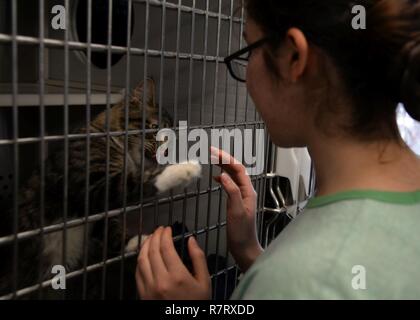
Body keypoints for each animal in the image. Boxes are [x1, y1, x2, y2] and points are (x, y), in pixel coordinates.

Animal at [0, 79, 202, 298]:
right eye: (154, 127)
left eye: (171, 140)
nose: (165, 152)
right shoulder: (97, 186)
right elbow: (140, 181)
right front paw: (183, 169)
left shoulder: (99, 210)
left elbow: (111, 230)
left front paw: (136, 242)